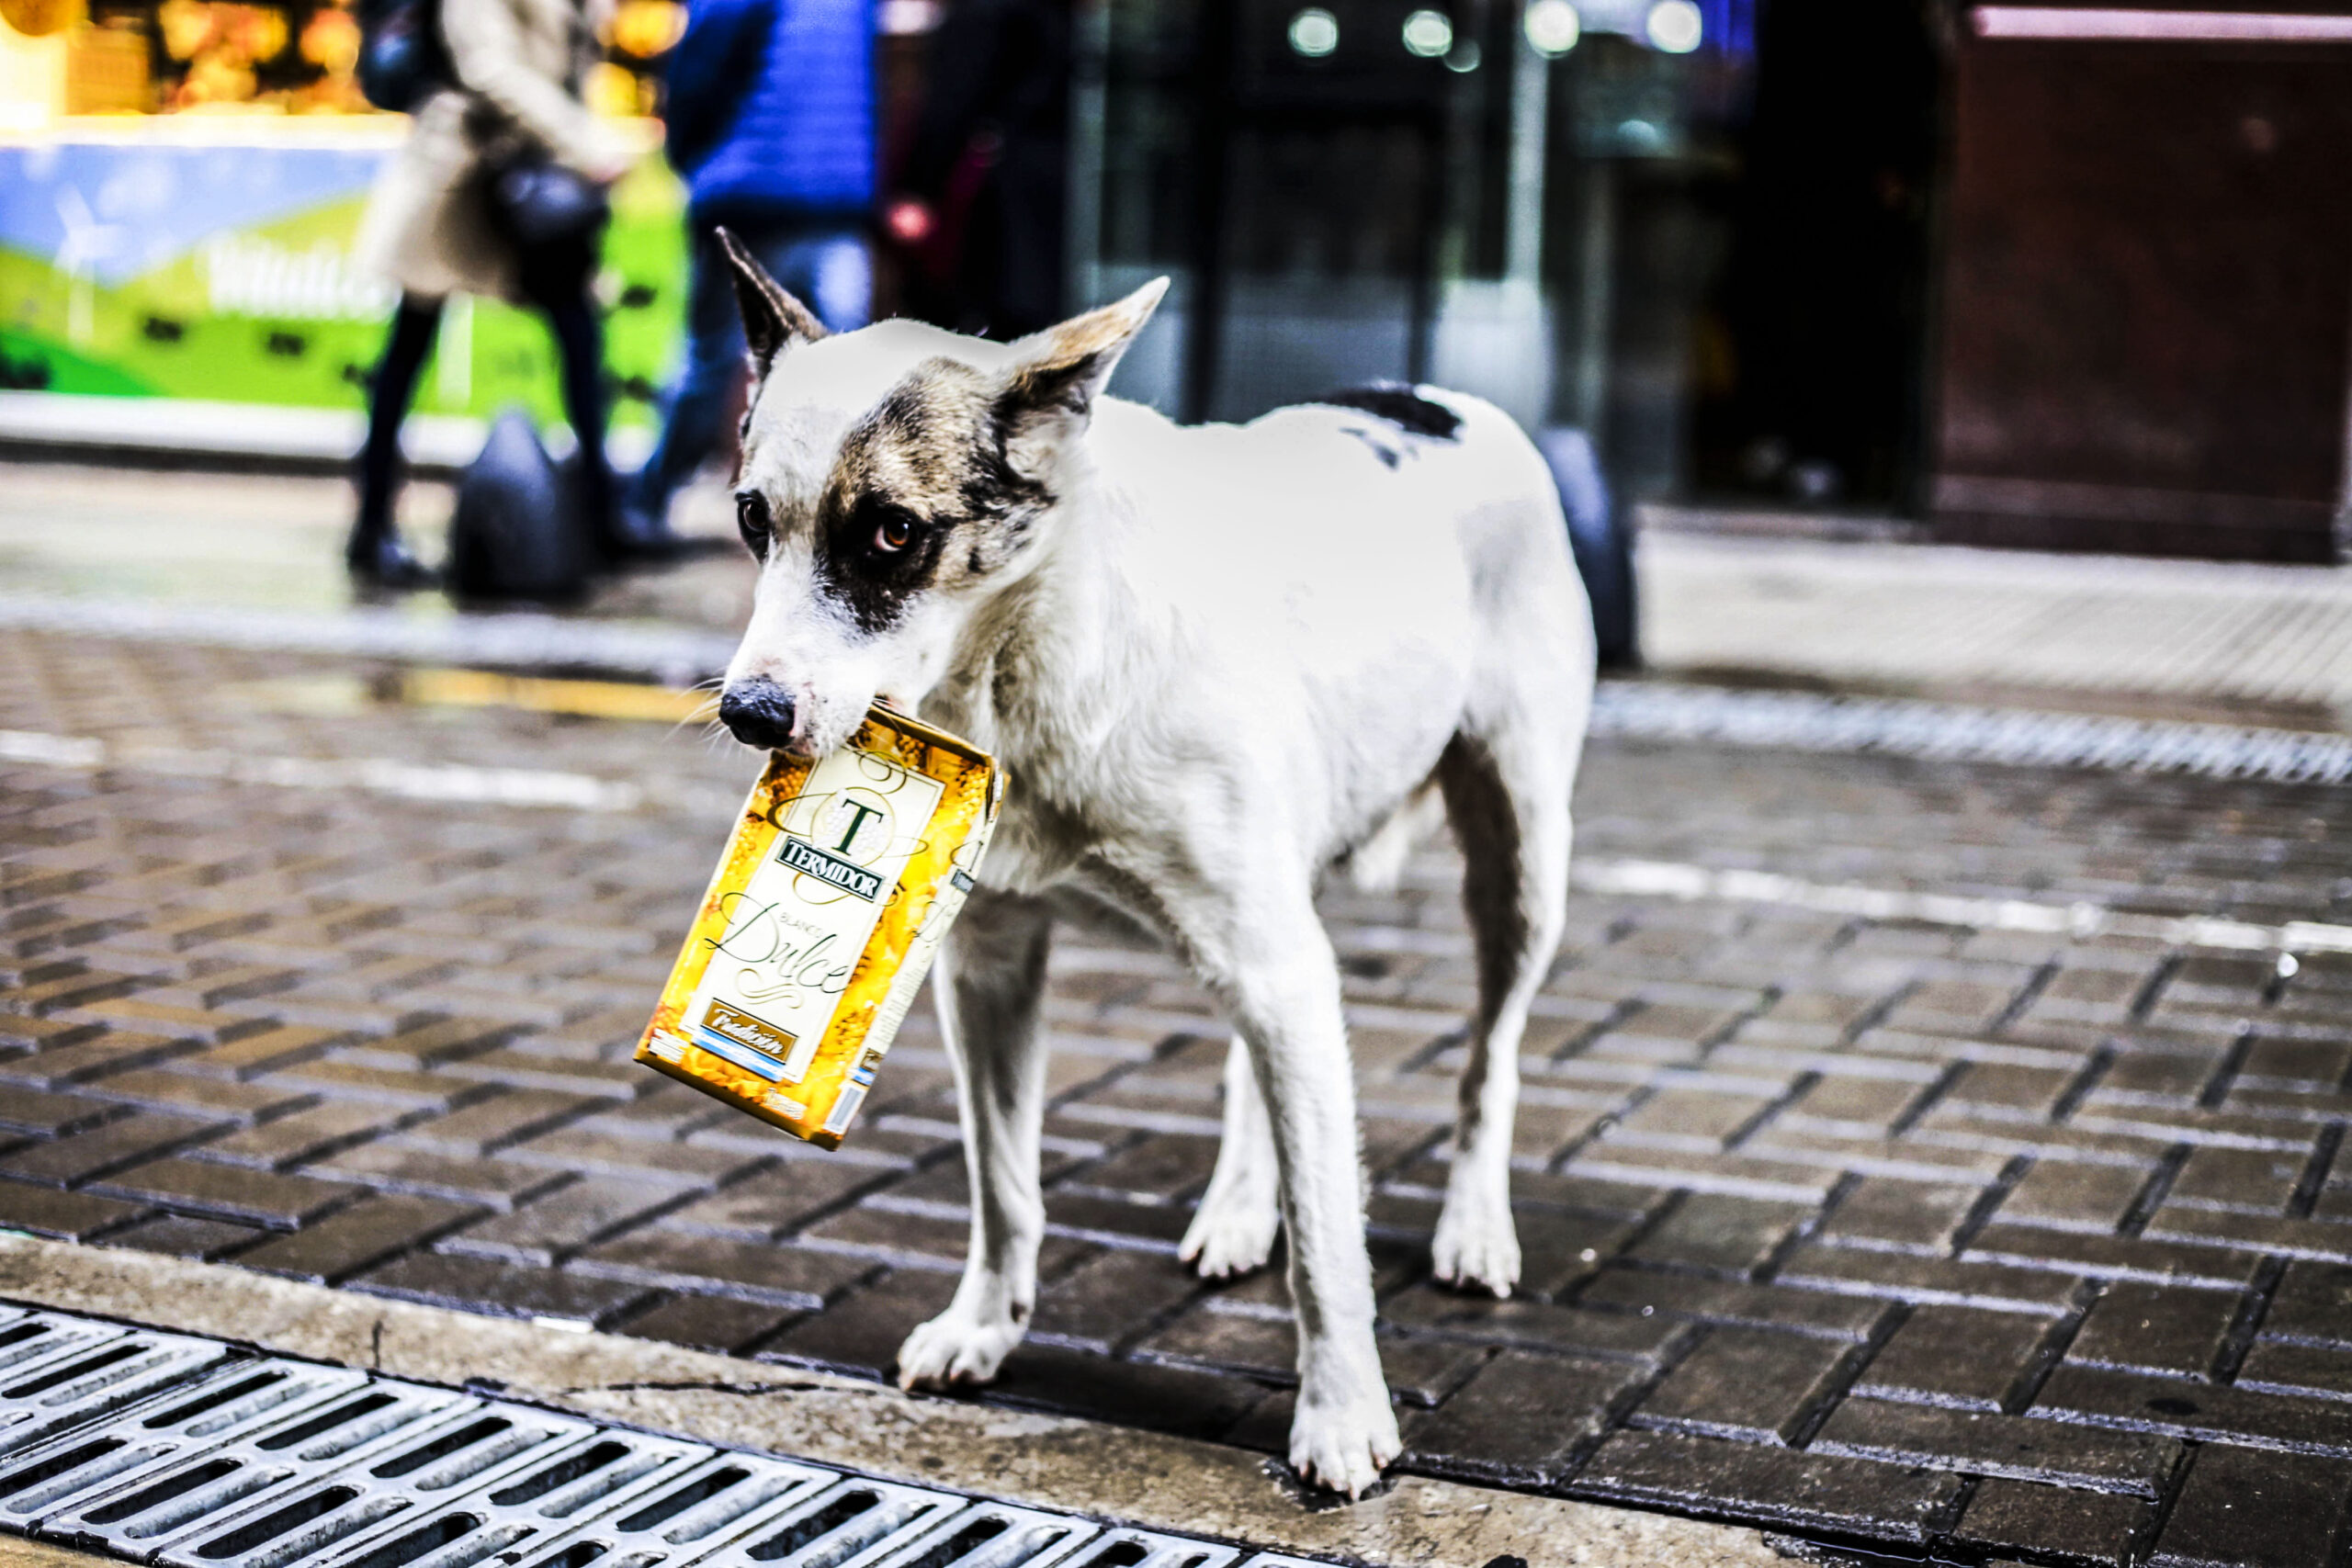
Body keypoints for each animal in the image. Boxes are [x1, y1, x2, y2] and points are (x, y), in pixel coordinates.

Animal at [709, 231, 1596, 1497]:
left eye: (891, 532)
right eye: (750, 519)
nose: (749, 714)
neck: (1028, 656)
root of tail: (1432, 398)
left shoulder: (1279, 966)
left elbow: (1329, 1244)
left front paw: (1342, 1415)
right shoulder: (990, 968)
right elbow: (1004, 1188)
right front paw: (985, 1325)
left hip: (1519, 861)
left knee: (1490, 1058)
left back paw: (1472, 1225)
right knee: (1253, 1066)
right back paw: (1239, 1205)